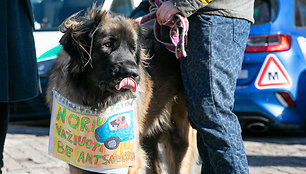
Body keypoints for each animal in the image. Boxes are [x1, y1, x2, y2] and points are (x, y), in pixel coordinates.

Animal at [46, 5, 197, 174]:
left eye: (133, 48)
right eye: (107, 44)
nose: (132, 73)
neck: (96, 98)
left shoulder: (129, 159)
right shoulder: (77, 162)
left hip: (179, 135)